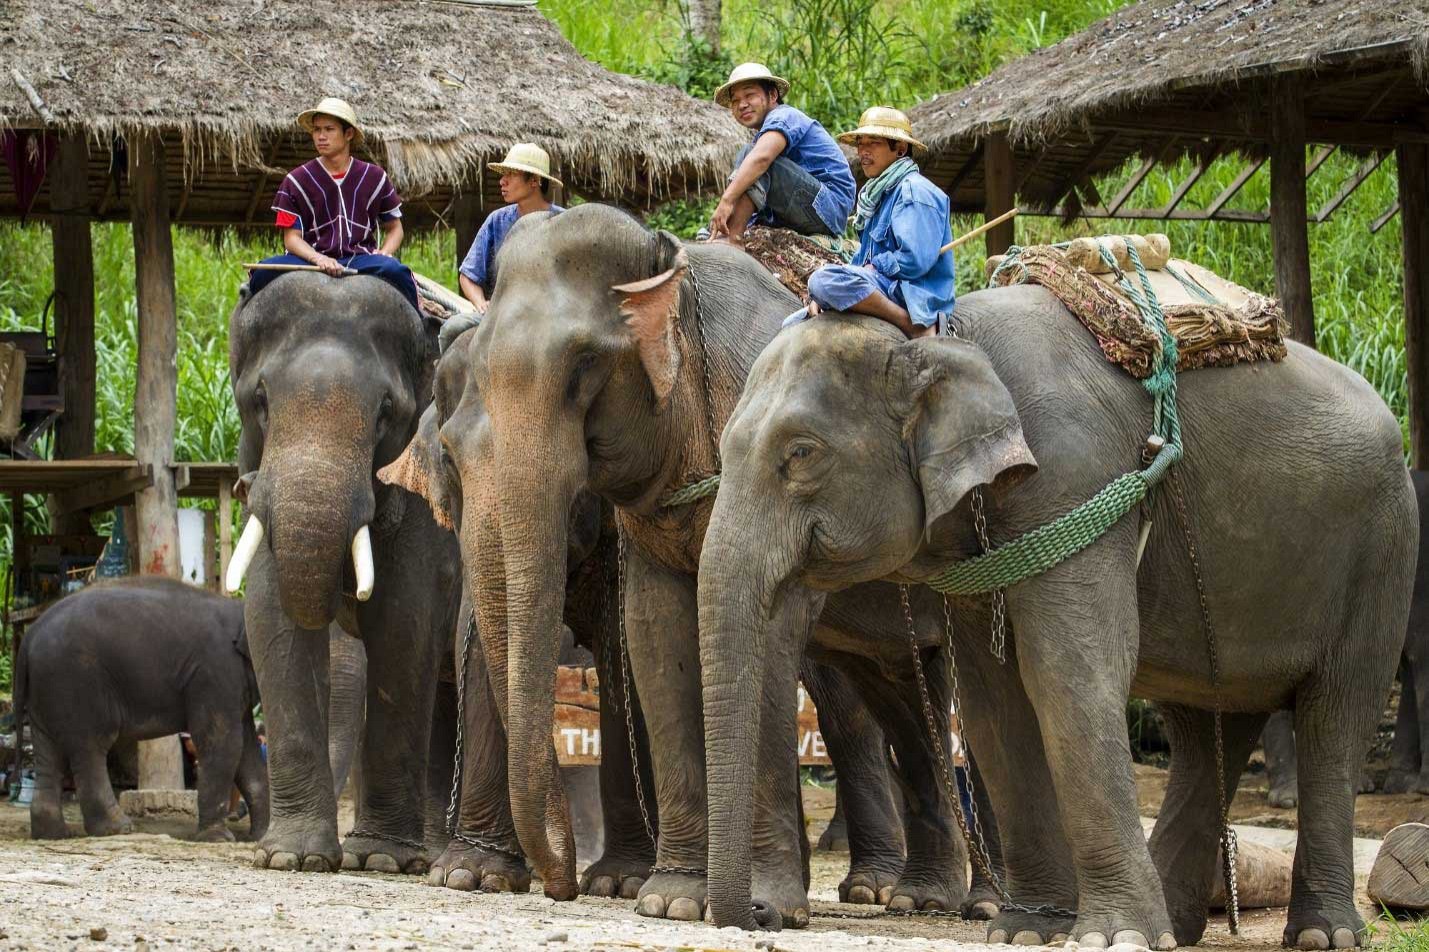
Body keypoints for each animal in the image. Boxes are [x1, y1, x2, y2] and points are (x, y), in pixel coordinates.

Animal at [15, 577, 268, 840]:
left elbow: (247, 750)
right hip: (75, 681)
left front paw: (260, 836)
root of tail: (30, 636)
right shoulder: (215, 673)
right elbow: (224, 743)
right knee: (90, 747)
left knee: (49, 752)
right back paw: (117, 828)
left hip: (46, 688)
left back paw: (54, 834)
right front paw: (218, 838)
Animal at [228, 270, 460, 869]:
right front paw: (292, 858)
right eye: (260, 400)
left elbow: (403, 628)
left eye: (386, 412)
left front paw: (377, 860)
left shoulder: (426, 498)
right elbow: (271, 615)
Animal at [394, 204, 983, 920]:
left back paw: (939, 900)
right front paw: (666, 898)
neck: (672, 261)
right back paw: (922, 898)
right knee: (904, 696)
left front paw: (750, 903)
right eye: (449, 460)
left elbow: (735, 638)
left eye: (584, 366)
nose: (560, 883)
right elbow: (654, 637)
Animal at [697, 298, 1411, 949]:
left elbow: (1066, 675)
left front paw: (1113, 938)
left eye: (801, 452)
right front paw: (1029, 931)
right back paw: (1179, 928)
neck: (945, 336)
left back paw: (1321, 936)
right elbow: (994, 702)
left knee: (1335, 719)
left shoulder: (1074, 479)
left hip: (1382, 556)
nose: (761, 916)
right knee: (1209, 724)